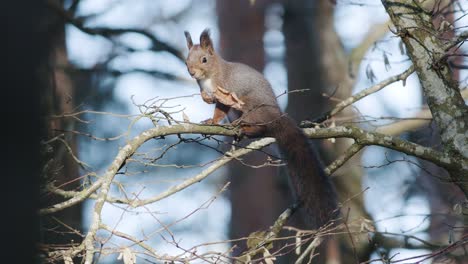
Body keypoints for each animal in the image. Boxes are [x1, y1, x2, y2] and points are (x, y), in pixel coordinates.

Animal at [182, 27, 336, 231]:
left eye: (204, 59)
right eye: (186, 60)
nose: (192, 73)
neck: (209, 77)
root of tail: (275, 116)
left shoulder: (225, 90)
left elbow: (220, 110)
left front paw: (212, 121)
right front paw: (206, 107)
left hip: (250, 107)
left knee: (259, 126)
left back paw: (242, 128)